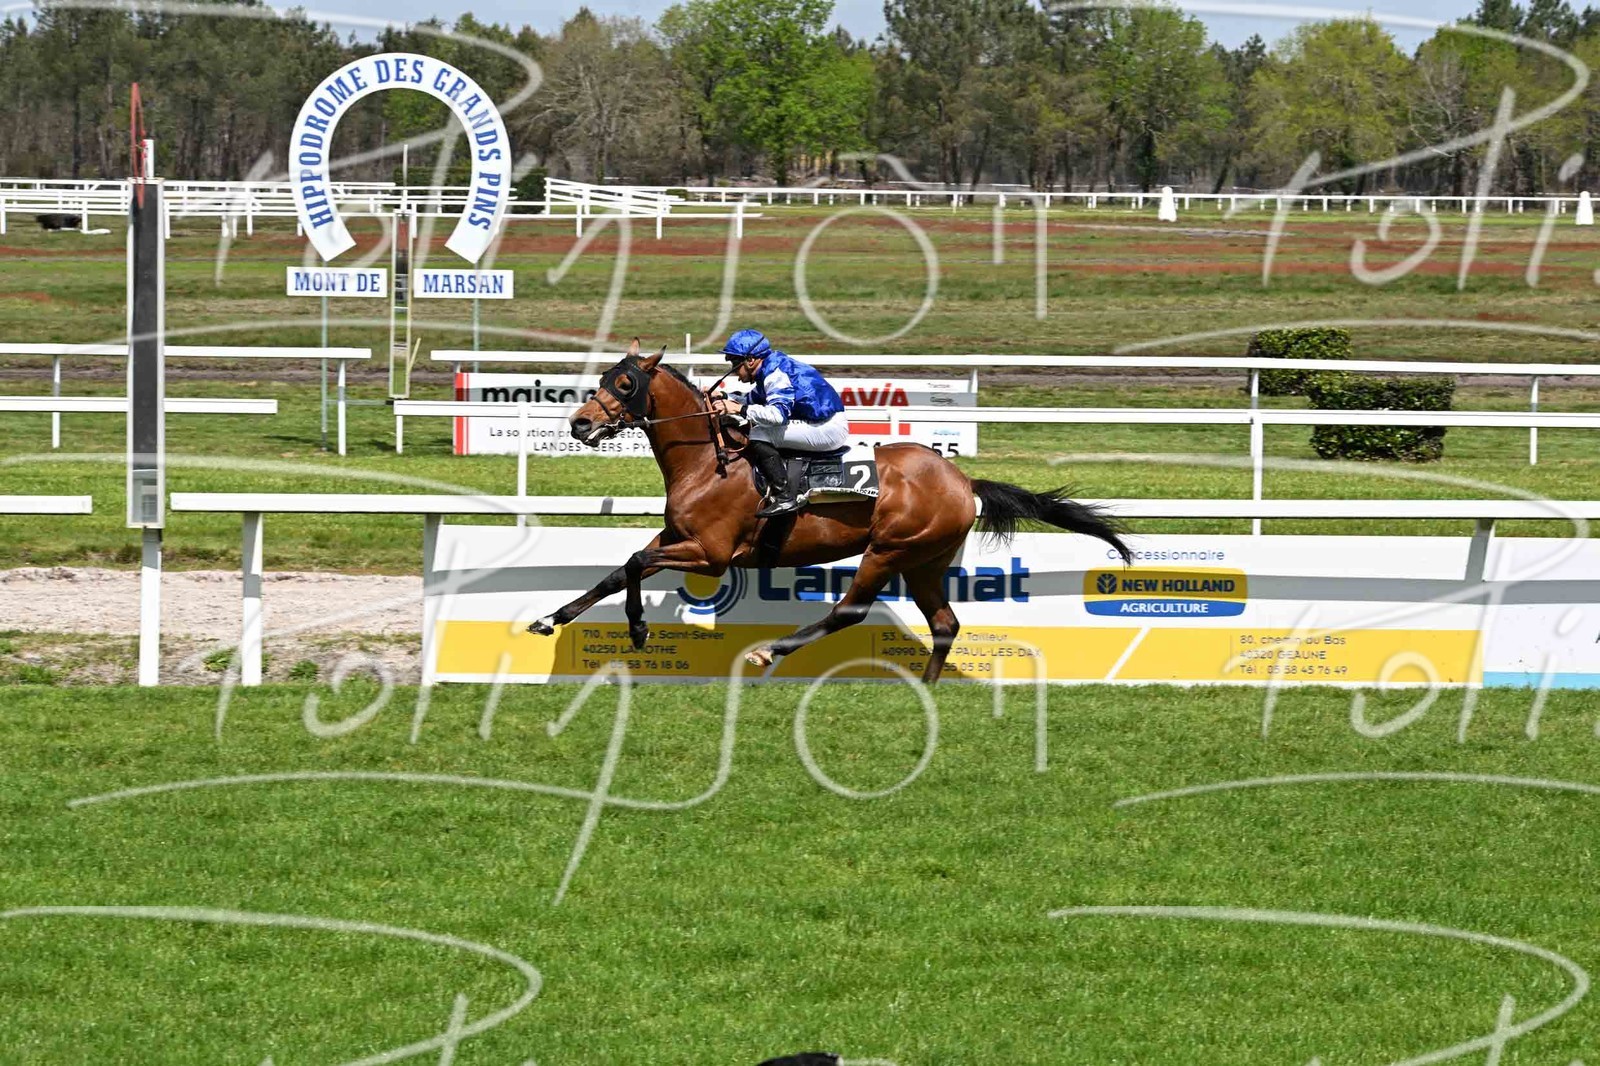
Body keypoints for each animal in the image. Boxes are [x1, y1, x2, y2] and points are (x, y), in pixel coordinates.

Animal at [526, 341, 1132, 683]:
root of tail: (962, 480)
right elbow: (619, 569)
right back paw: (927, 686)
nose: (580, 423)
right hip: (926, 559)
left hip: (889, 550)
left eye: (625, 383)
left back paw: (770, 651)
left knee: (850, 611)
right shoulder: (676, 536)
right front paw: (552, 617)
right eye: (601, 380)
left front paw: (637, 630)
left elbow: (633, 563)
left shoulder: (711, 554)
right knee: (944, 621)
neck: (706, 460)